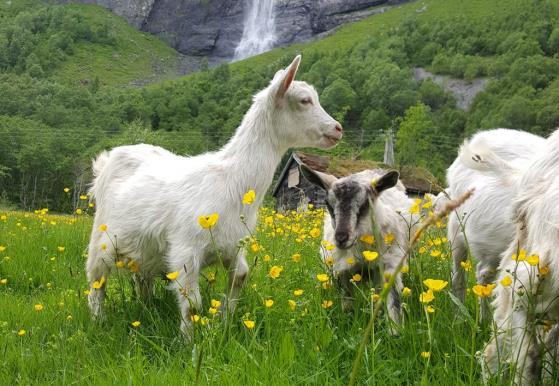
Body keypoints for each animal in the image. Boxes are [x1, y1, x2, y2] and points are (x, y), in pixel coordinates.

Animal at [86, 55, 344, 336]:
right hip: (101, 238)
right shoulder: (186, 249)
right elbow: (192, 303)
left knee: (141, 276)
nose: (338, 129)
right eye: (304, 100)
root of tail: (107, 160)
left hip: (145, 247)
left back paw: (146, 309)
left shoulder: (232, 244)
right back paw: (98, 320)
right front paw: (189, 340)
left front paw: (222, 322)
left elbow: (241, 276)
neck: (231, 179)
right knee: (96, 280)